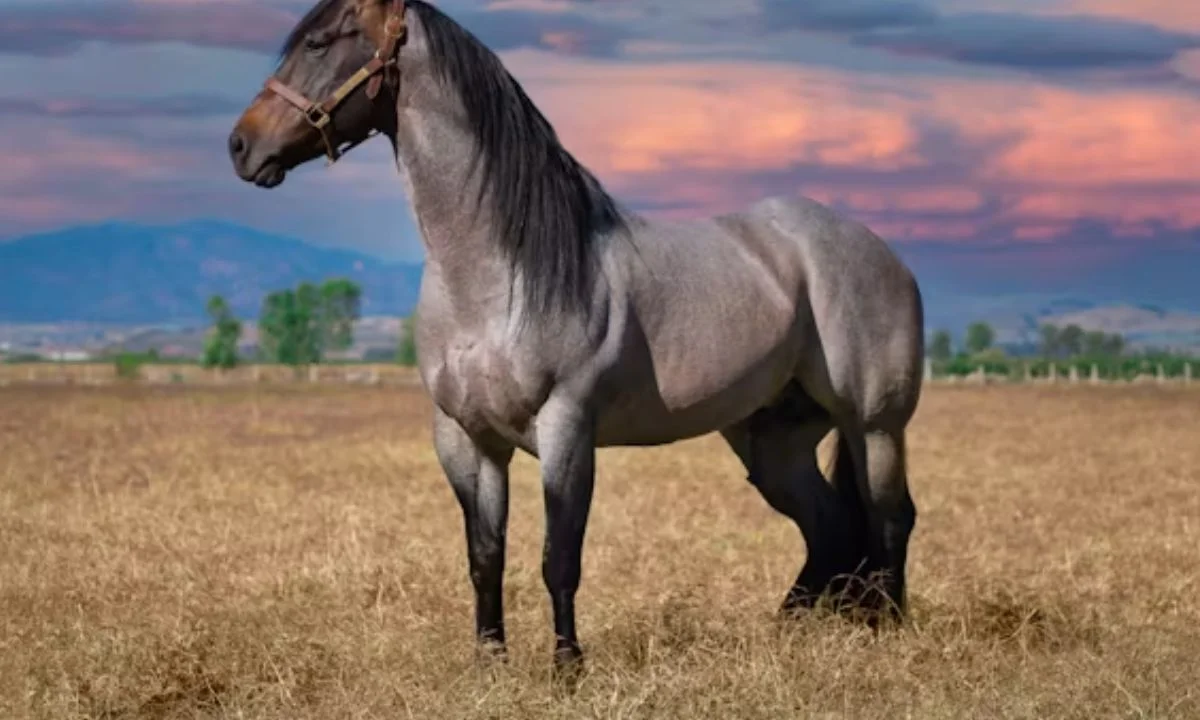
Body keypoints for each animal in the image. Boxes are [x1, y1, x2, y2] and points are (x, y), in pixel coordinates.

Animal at [229, 0, 926, 674]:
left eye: (319, 42)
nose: (241, 145)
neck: (496, 274)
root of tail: (878, 250)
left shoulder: (566, 429)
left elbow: (558, 556)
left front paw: (566, 667)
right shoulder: (465, 438)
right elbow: (485, 556)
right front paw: (489, 663)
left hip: (874, 426)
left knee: (889, 517)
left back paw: (887, 631)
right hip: (772, 440)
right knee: (828, 527)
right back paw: (789, 632)